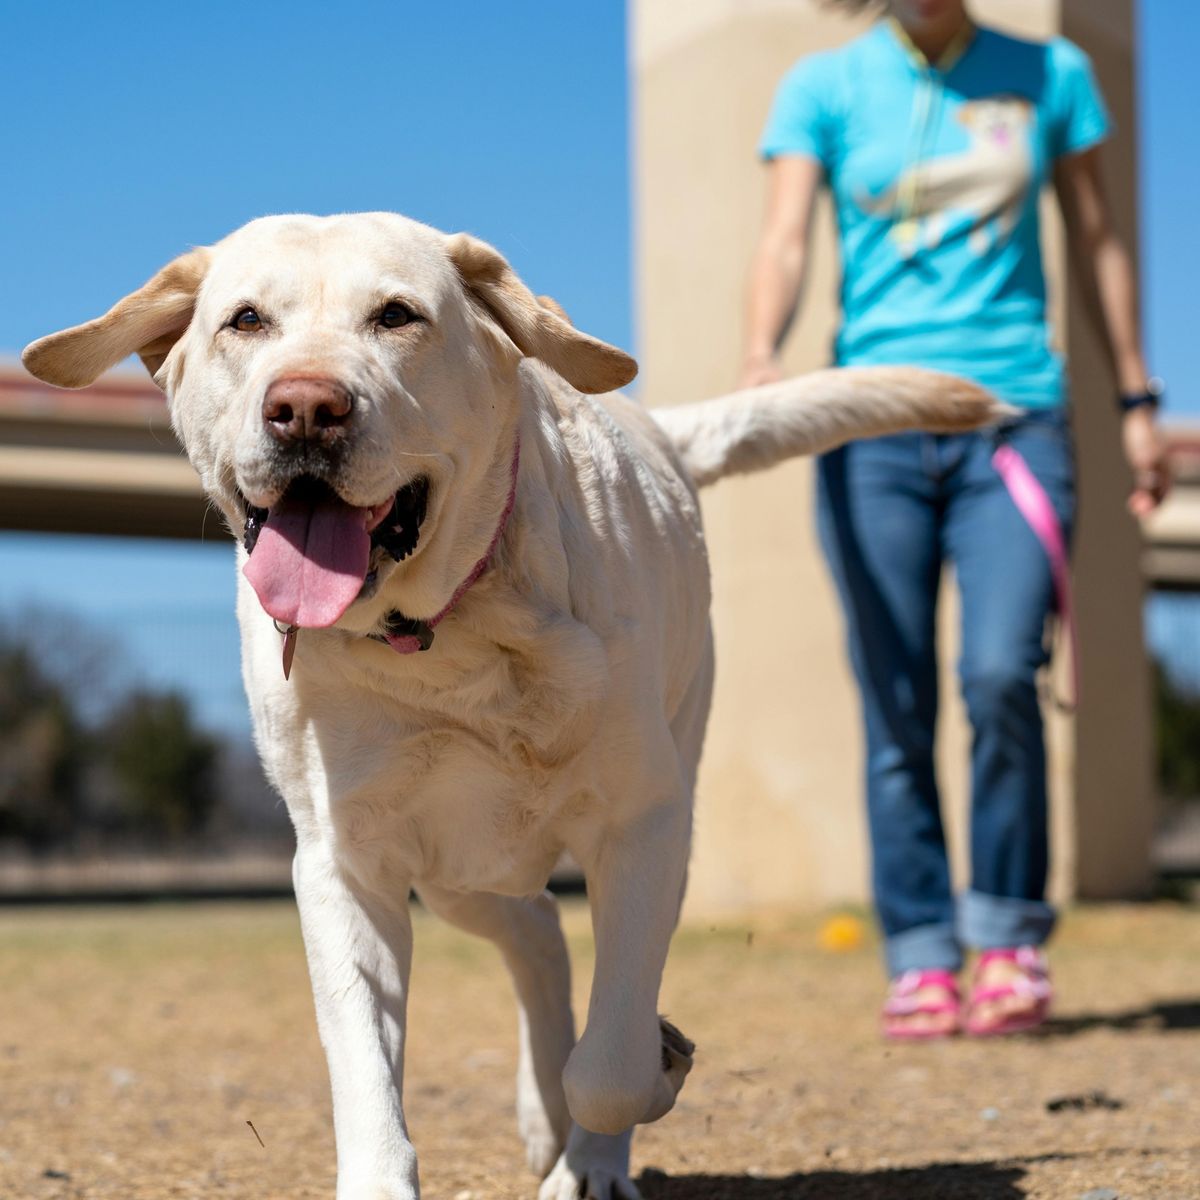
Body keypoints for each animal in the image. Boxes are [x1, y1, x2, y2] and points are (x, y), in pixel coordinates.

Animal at [21, 216, 993, 1200]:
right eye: (245, 320)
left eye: (397, 315)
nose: (305, 408)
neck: (438, 638)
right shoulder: (344, 861)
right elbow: (364, 1064)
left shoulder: (643, 827)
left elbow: (611, 1062)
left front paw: (647, 1076)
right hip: (457, 869)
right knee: (539, 936)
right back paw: (545, 1113)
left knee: (582, 982)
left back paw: (588, 1156)